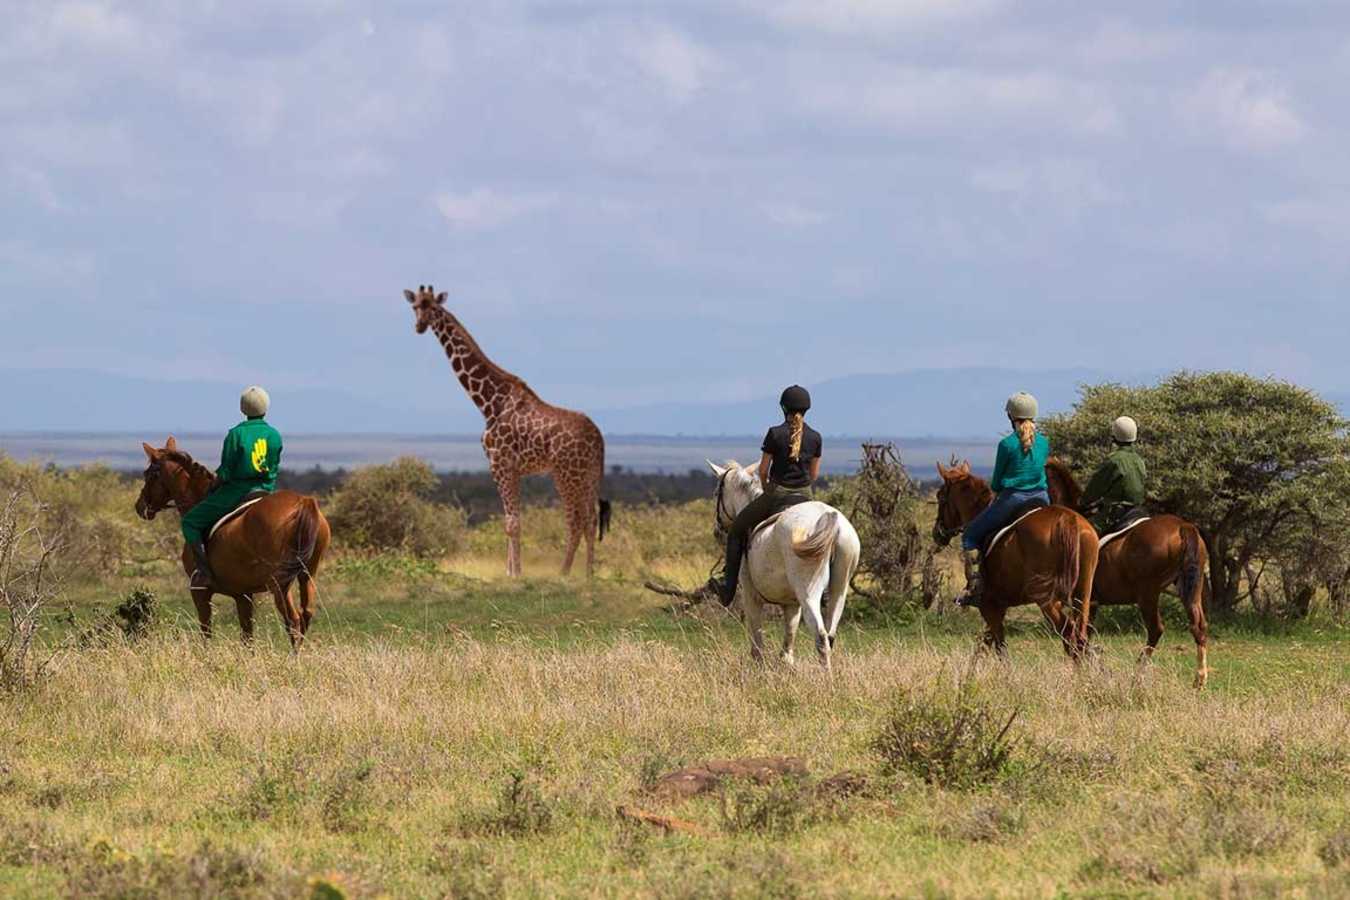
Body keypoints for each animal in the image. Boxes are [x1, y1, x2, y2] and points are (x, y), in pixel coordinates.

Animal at [135, 436, 330, 649]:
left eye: (149, 474)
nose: (139, 506)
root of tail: (304, 502)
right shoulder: (243, 595)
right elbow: (247, 636)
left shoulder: (200, 591)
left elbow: (206, 632)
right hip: (307, 574)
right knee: (306, 614)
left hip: (279, 584)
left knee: (293, 620)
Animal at [707, 461, 861, 671]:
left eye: (716, 493)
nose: (717, 531)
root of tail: (830, 518)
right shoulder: (791, 604)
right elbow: (788, 641)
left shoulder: (751, 596)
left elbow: (757, 641)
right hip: (840, 588)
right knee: (830, 634)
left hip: (808, 591)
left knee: (821, 635)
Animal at [932, 460, 1098, 660]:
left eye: (940, 496)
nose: (937, 533)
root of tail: (1068, 520)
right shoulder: (998, 607)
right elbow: (984, 645)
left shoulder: (990, 607)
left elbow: (998, 649)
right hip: (1083, 593)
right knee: (1079, 639)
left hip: (1046, 598)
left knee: (1070, 636)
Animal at [1044, 458, 1209, 687]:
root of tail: (1183, 527)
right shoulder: (1092, 603)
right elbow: (1083, 637)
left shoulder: (1083, 601)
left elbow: (1077, 638)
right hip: (1191, 588)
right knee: (1198, 626)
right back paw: (1199, 679)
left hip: (1148, 594)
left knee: (1156, 629)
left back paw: (1137, 676)